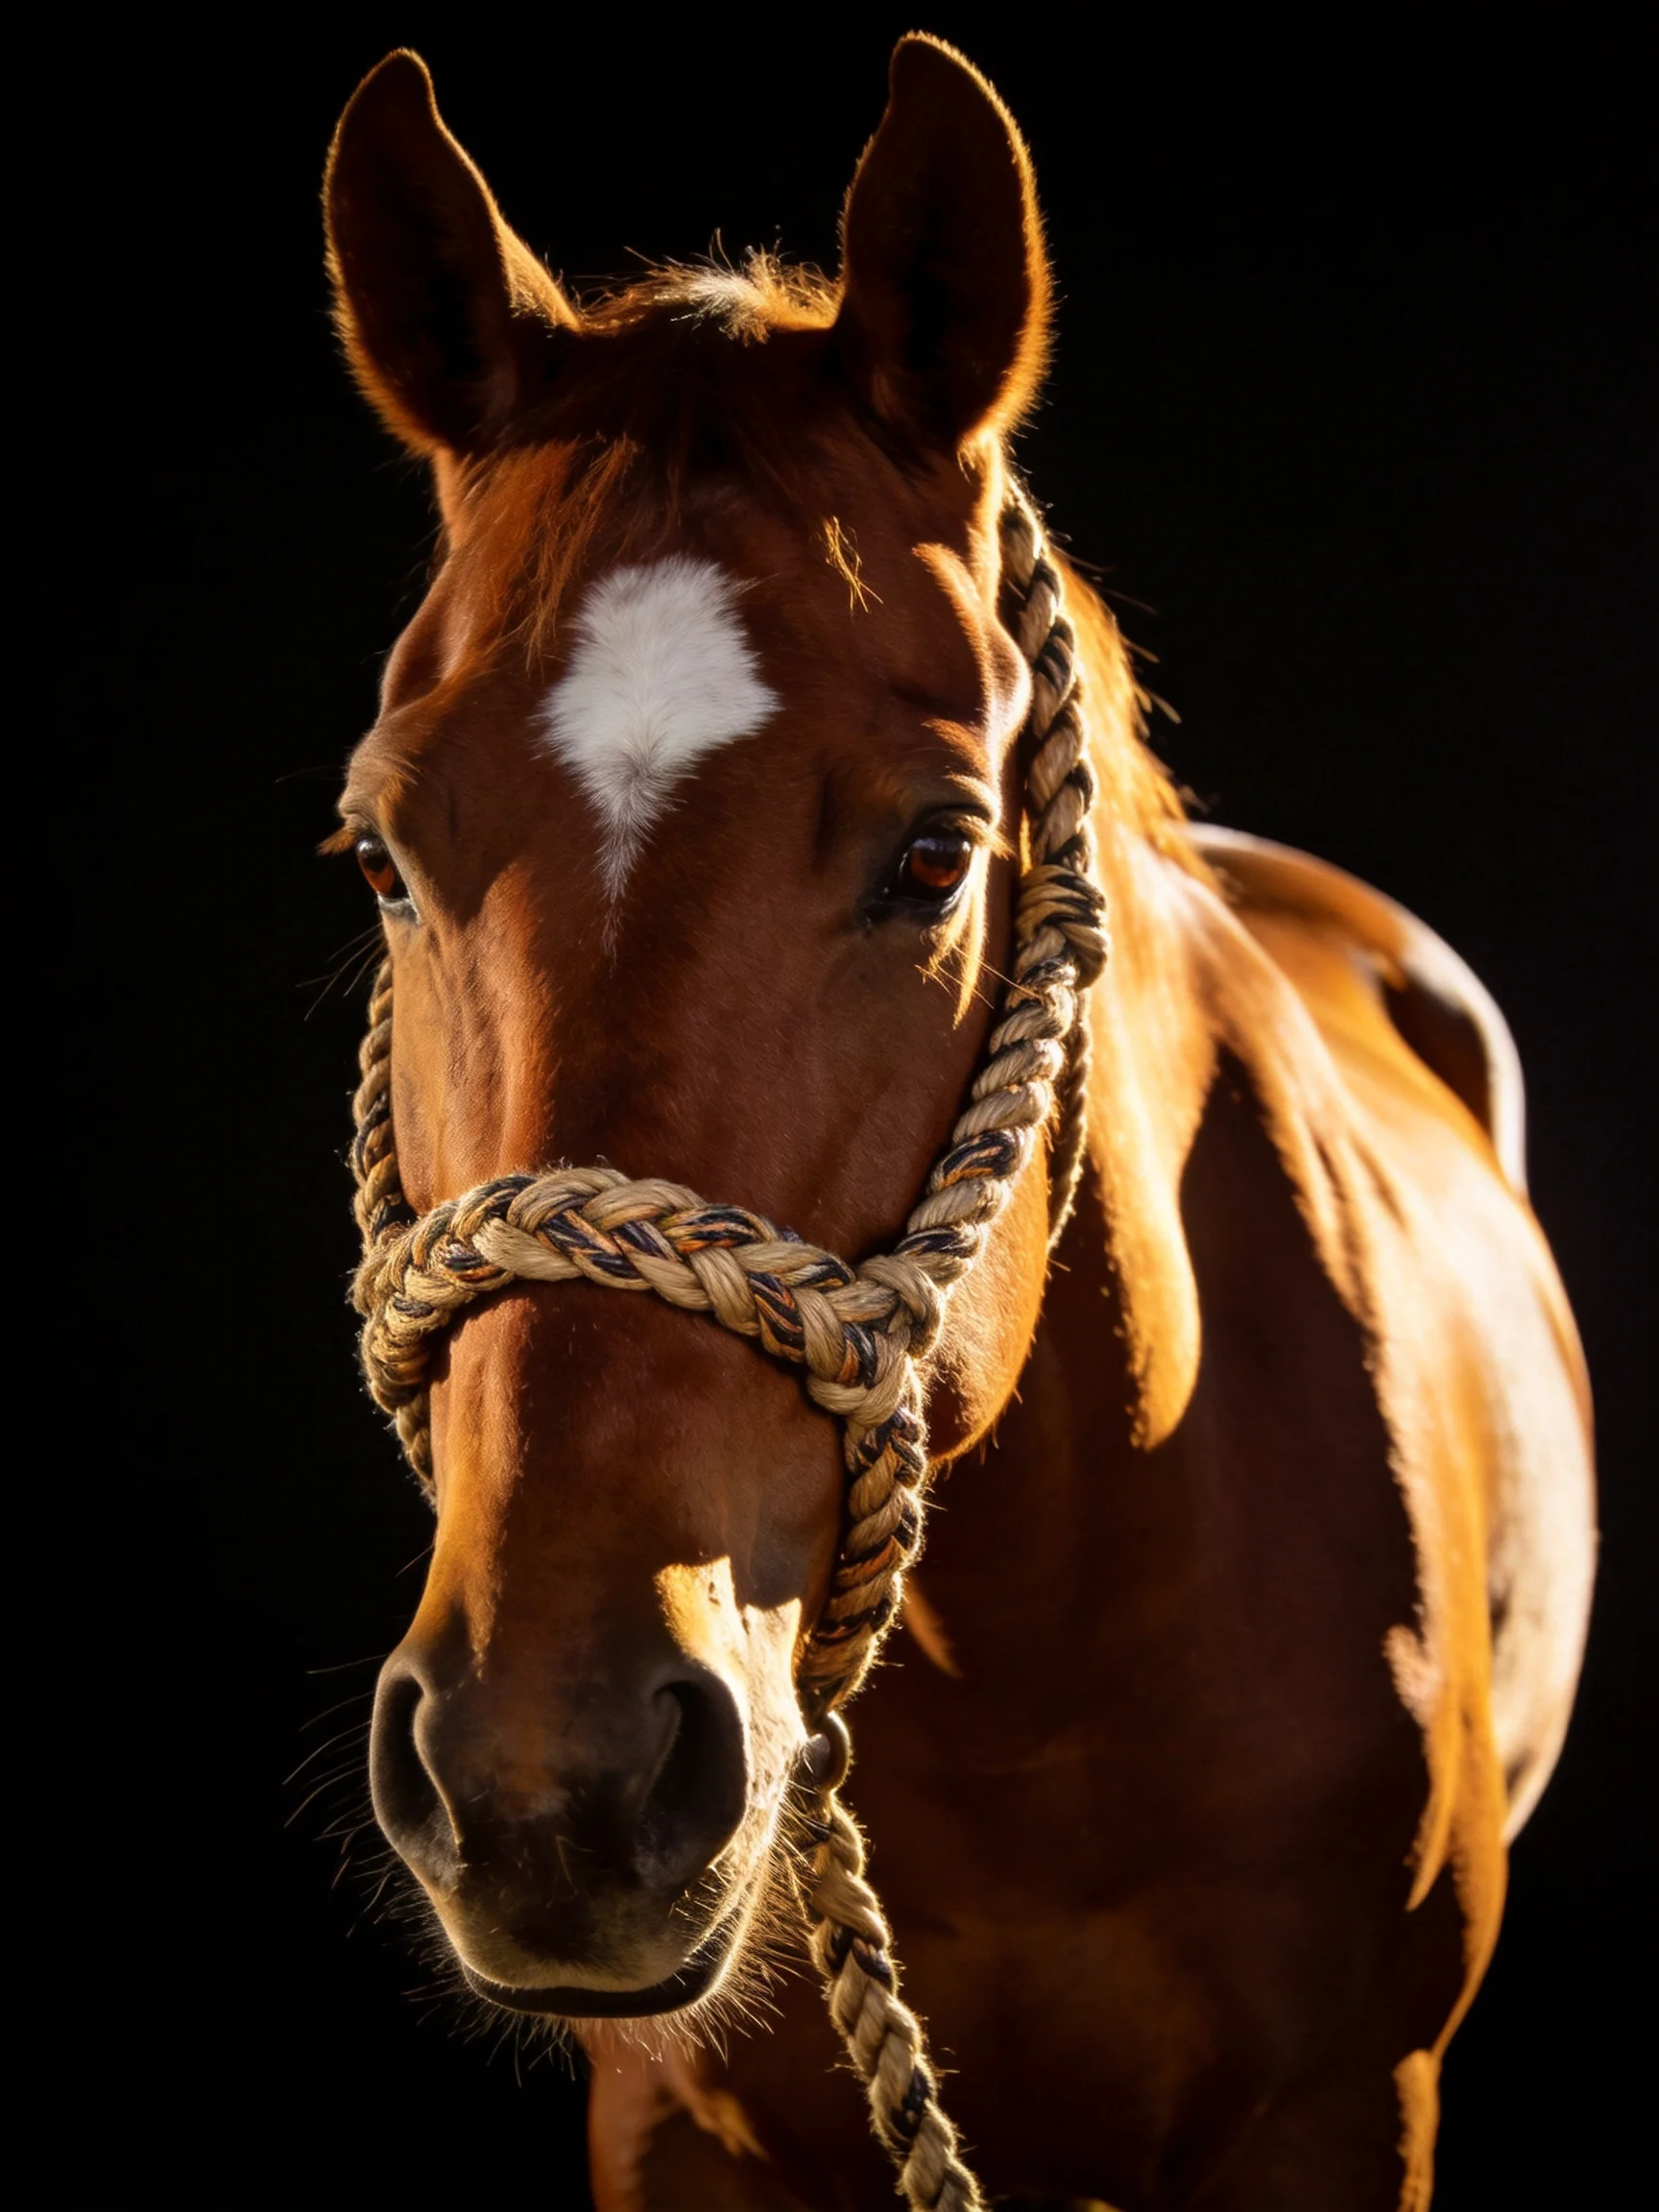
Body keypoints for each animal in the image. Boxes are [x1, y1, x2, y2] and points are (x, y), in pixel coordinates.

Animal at [321, 36, 1594, 2211]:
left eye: (936, 852)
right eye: (387, 853)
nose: (551, 1774)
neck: (1032, 1667)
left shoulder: (1350, 2109)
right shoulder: (673, 2129)